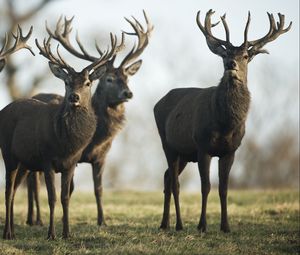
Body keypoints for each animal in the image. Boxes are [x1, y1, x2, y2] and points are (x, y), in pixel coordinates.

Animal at [0, 17, 122, 239]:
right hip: (8, 153)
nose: (74, 97)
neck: (66, 144)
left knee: (15, 189)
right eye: (66, 82)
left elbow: (66, 197)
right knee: (8, 191)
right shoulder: (47, 159)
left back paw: (12, 230)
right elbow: (52, 198)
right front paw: (51, 234)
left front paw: (67, 233)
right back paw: (8, 233)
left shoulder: (71, 163)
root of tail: (3, 110)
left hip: (25, 161)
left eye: (88, 82)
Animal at [14, 11, 152, 227]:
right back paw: (35, 219)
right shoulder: (73, 158)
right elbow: (70, 190)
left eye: (127, 78)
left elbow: (99, 189)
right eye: (108, 79)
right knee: (32, 181)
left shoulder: (101, 157)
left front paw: (102, 221)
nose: (128, 93)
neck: (97, 139)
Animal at [154, 9, 292, 233]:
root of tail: (158, 103)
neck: (225, 124)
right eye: (225, 54)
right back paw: (179, 224)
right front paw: (202, 225)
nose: (231, 64)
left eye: (245, 55)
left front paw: (226, 226)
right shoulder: (203, 147)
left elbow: (224, 189)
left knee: (167, 177)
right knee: (175, 183)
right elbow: (206, 187)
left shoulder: (231, 150)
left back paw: (165, 223)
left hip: (185, 153)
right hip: (168, 143)